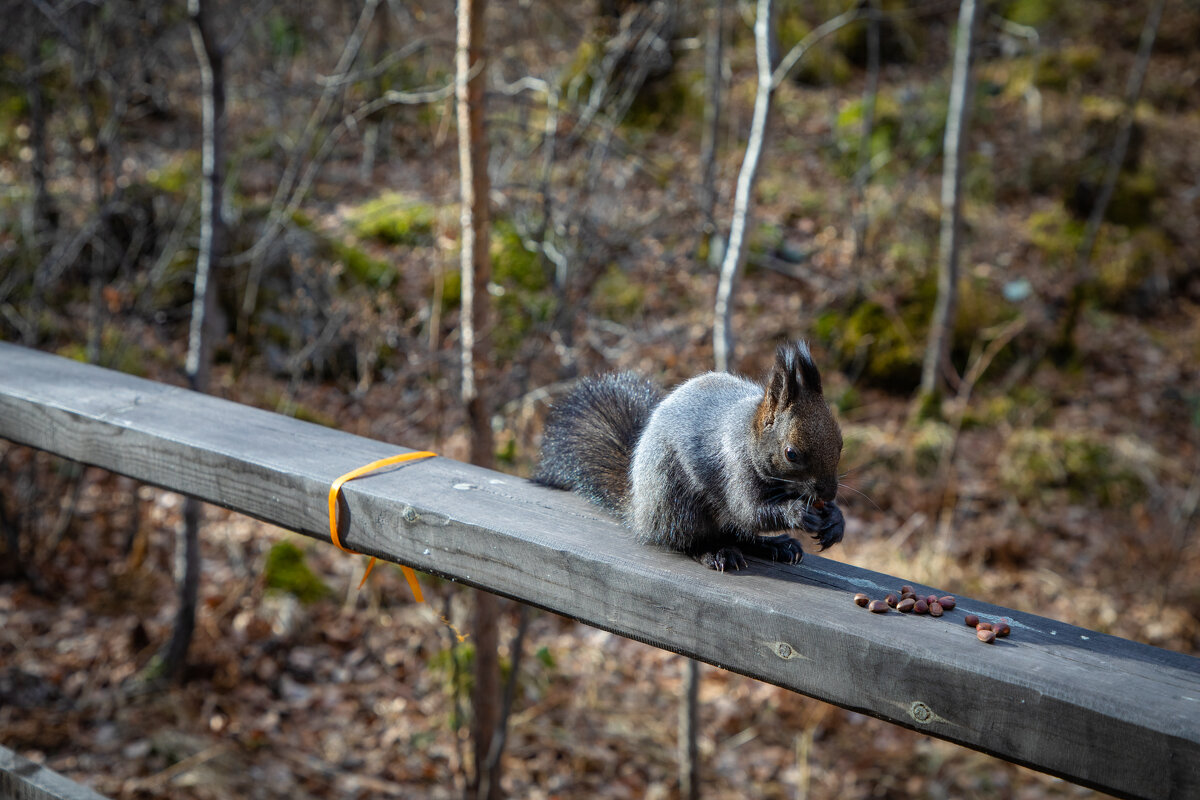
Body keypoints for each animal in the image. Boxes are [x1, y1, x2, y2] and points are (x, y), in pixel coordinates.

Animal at [535, 340, 844, 573]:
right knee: (686, 540)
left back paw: (773, 545)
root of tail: (639, 511)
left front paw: (835, 520)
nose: (829, 494)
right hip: (677, 501)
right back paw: (714, 552)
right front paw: (798, 512)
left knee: (738, 534)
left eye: (841, 443)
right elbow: (748, 510)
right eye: (791, 454)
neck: (748, 435)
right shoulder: (734, 468)